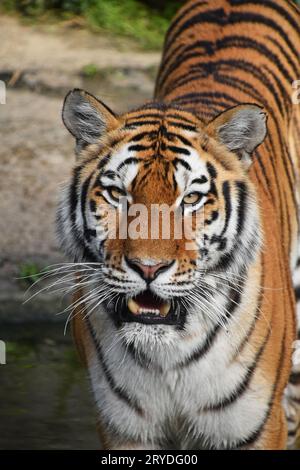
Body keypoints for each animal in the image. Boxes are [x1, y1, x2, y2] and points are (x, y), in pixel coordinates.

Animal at [56, 0, 300, 448]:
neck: (169, 354)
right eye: (118, 193)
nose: (148, 268)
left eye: (190, 199)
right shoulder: (123, 427)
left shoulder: (254, 425)